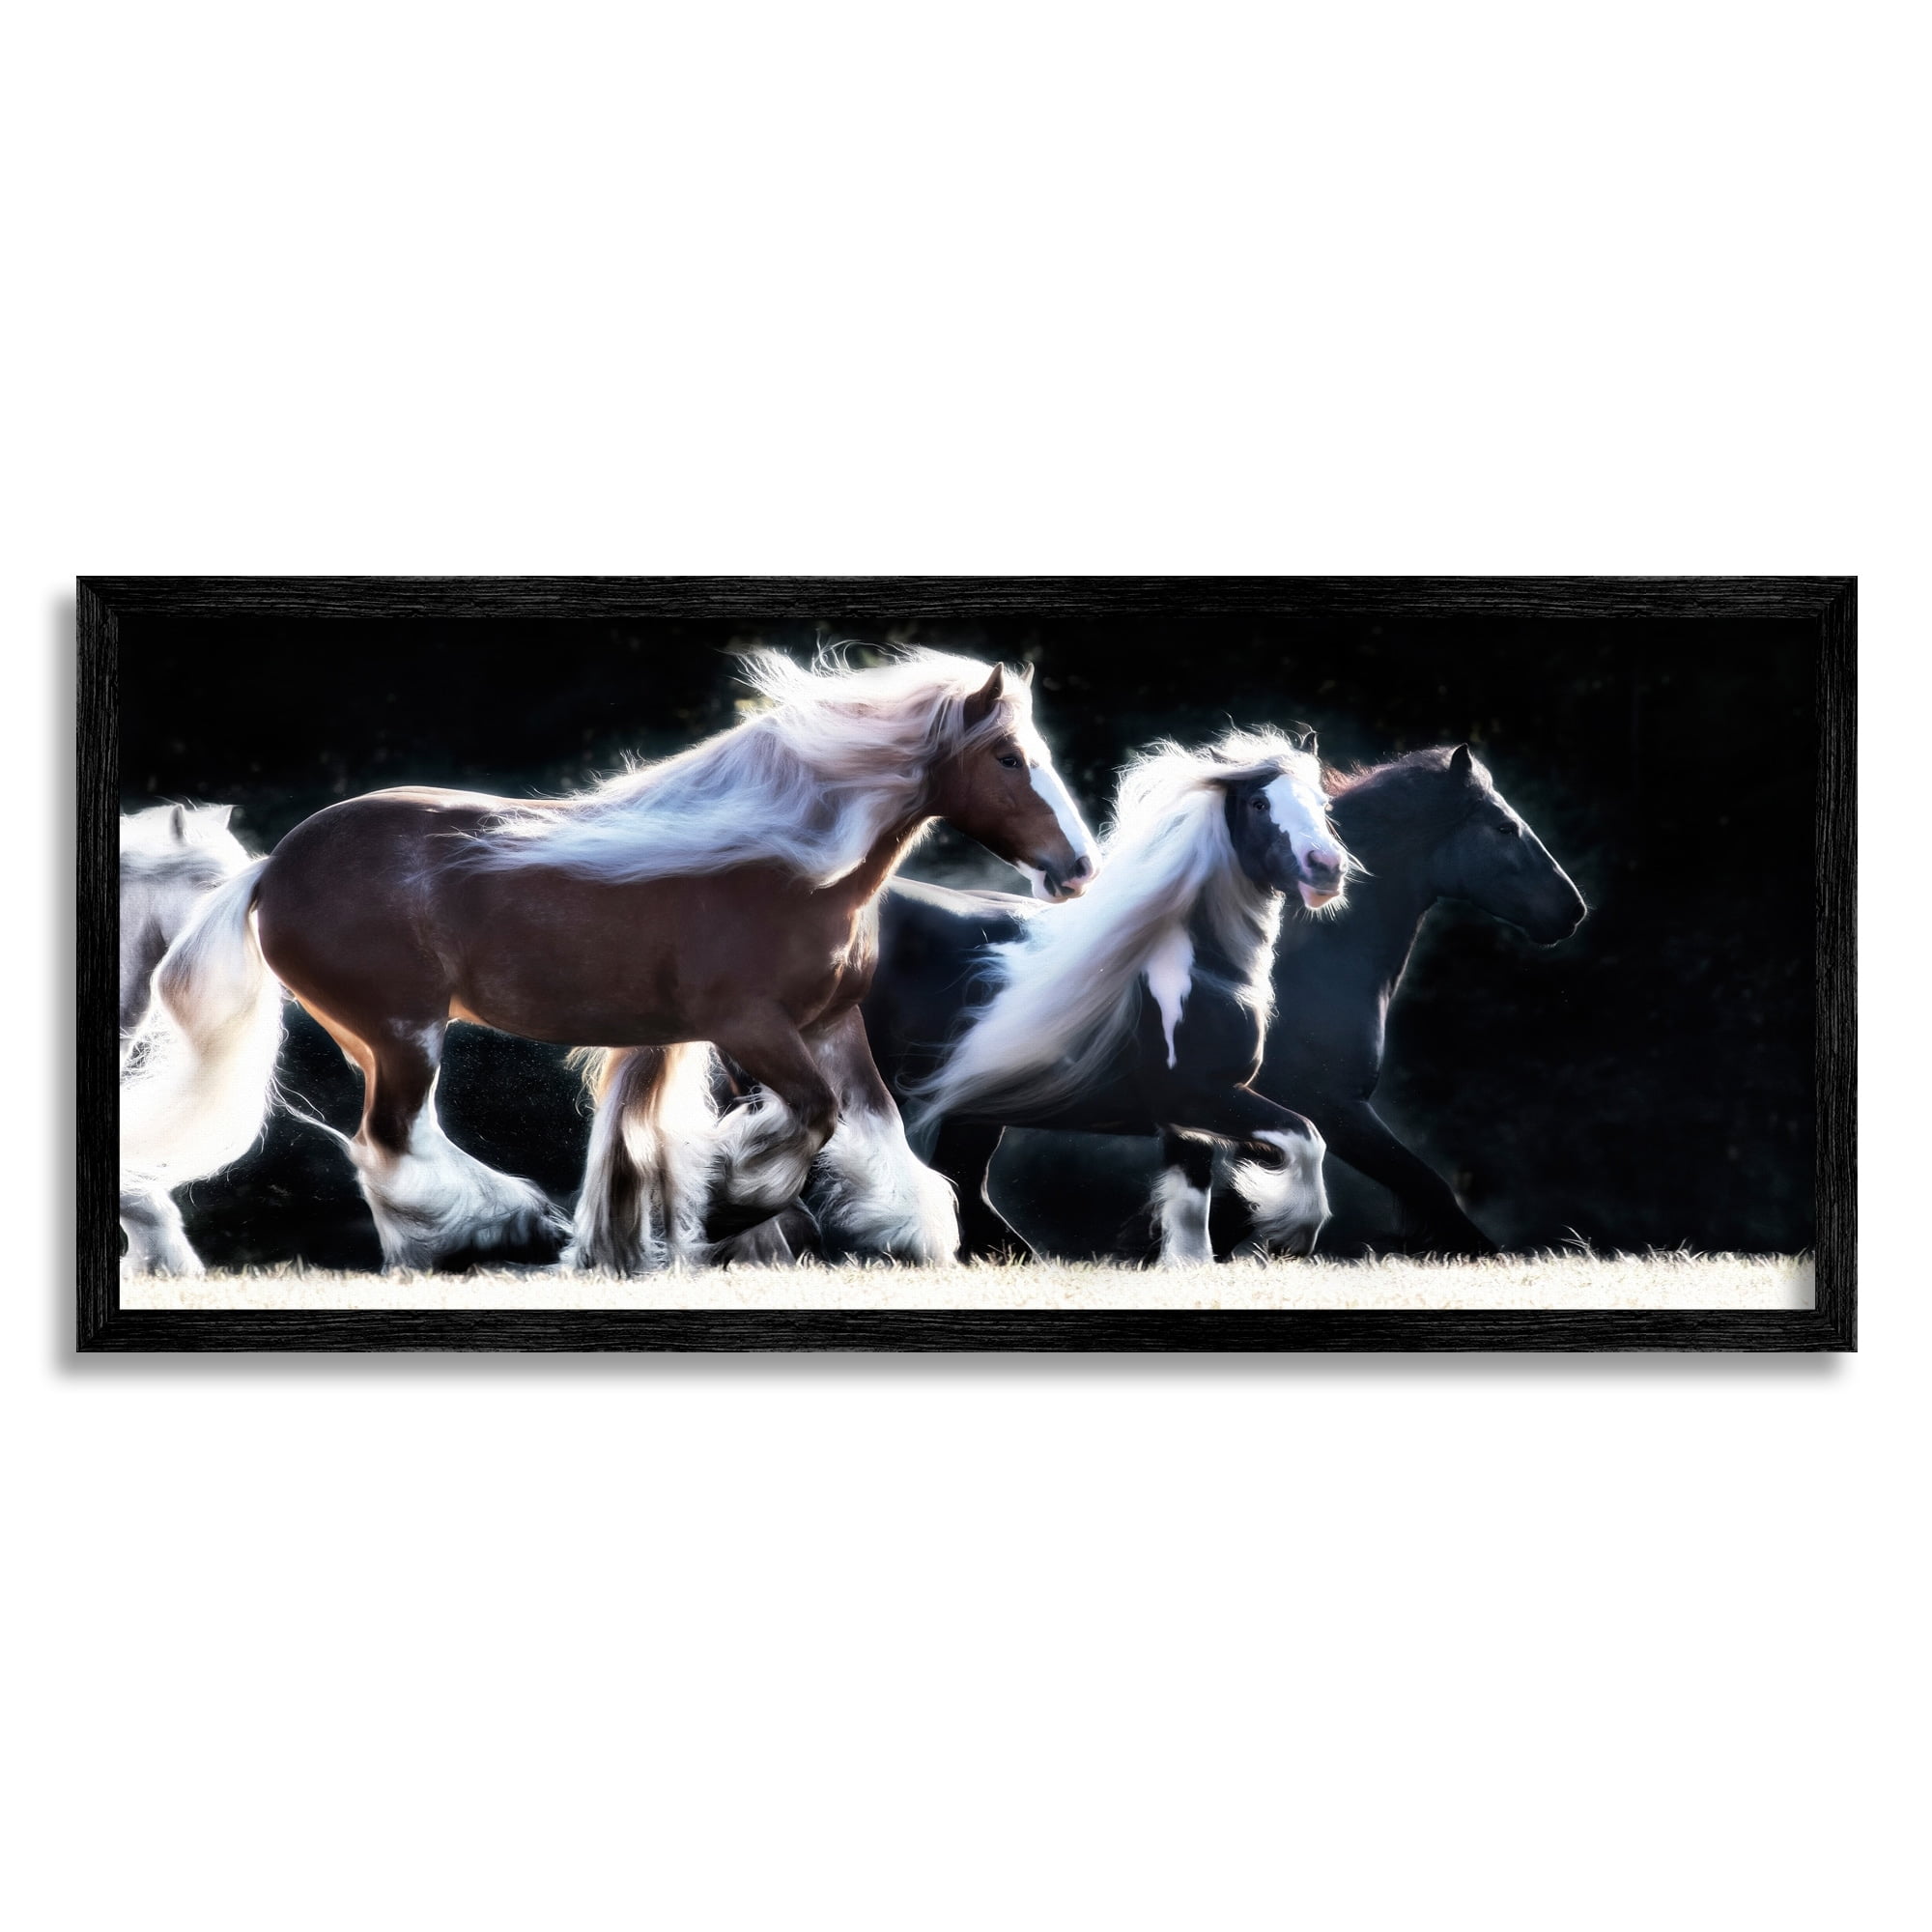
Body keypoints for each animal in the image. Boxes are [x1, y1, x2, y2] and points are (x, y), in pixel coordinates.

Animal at [797, 727, 1356, 1264]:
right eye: (1260, 804)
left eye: (1322, 805)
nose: (1326, 867)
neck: (1198, 969)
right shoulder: (1195, 1096)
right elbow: (1306, 1137)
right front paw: (1292, 1234)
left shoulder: (1191, 1121)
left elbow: (1193, 1215)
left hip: (973, 1107)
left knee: (962, 1188)